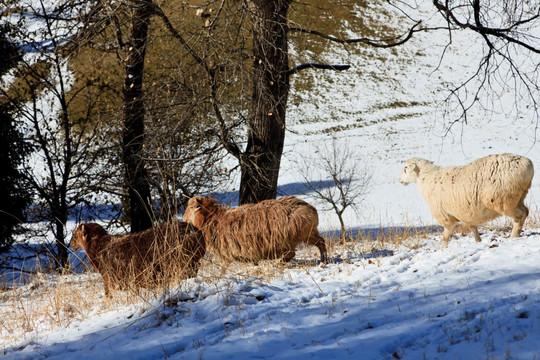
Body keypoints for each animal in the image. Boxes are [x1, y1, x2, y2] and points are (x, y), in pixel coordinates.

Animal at [70, 219, 206, 296]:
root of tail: (196, 233)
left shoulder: (111, 277)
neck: (97, 246)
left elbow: (109, 292)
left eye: (75, 235)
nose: (71, 243)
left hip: (182, 264)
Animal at [182, 197, 330, 264]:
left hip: (285, 240)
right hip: (309, 233)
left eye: (191, 207)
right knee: (321, 242)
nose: (183, 219)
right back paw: (324, 259)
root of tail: (310, 209)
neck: (213, 218)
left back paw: (280, 263)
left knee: (291, 253)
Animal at [398, 152, 532, 248]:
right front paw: (478, 241)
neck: (427, 179)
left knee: (520, 215)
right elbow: (473, 228)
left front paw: (443, 249)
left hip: (503, 201)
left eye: (405, 168)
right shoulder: (467, 212)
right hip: (519, 197)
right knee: (526, 211)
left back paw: (513, 236)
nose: (400, 181)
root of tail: (527, 164)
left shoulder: (446, 216)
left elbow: (446, 236)